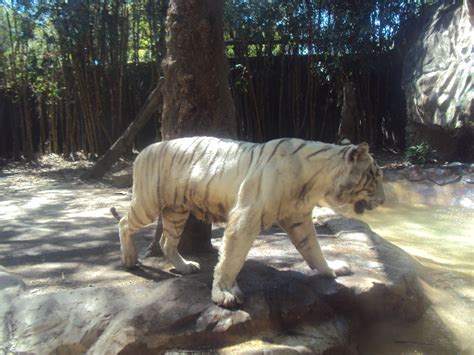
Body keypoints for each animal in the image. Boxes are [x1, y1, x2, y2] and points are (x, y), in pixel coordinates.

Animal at [114, 137, 386, 308]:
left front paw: (332, 269)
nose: (384, 200)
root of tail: (144, 150)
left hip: (176, 211)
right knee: (125, 222)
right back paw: (129, 258)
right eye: (374, 177)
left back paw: (184, 266)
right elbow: (231, 259)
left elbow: (314, 249)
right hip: (148, 203)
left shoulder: (298, 218)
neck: (316, 185)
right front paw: (224, 293)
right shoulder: (245, 216)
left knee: (166, 240)